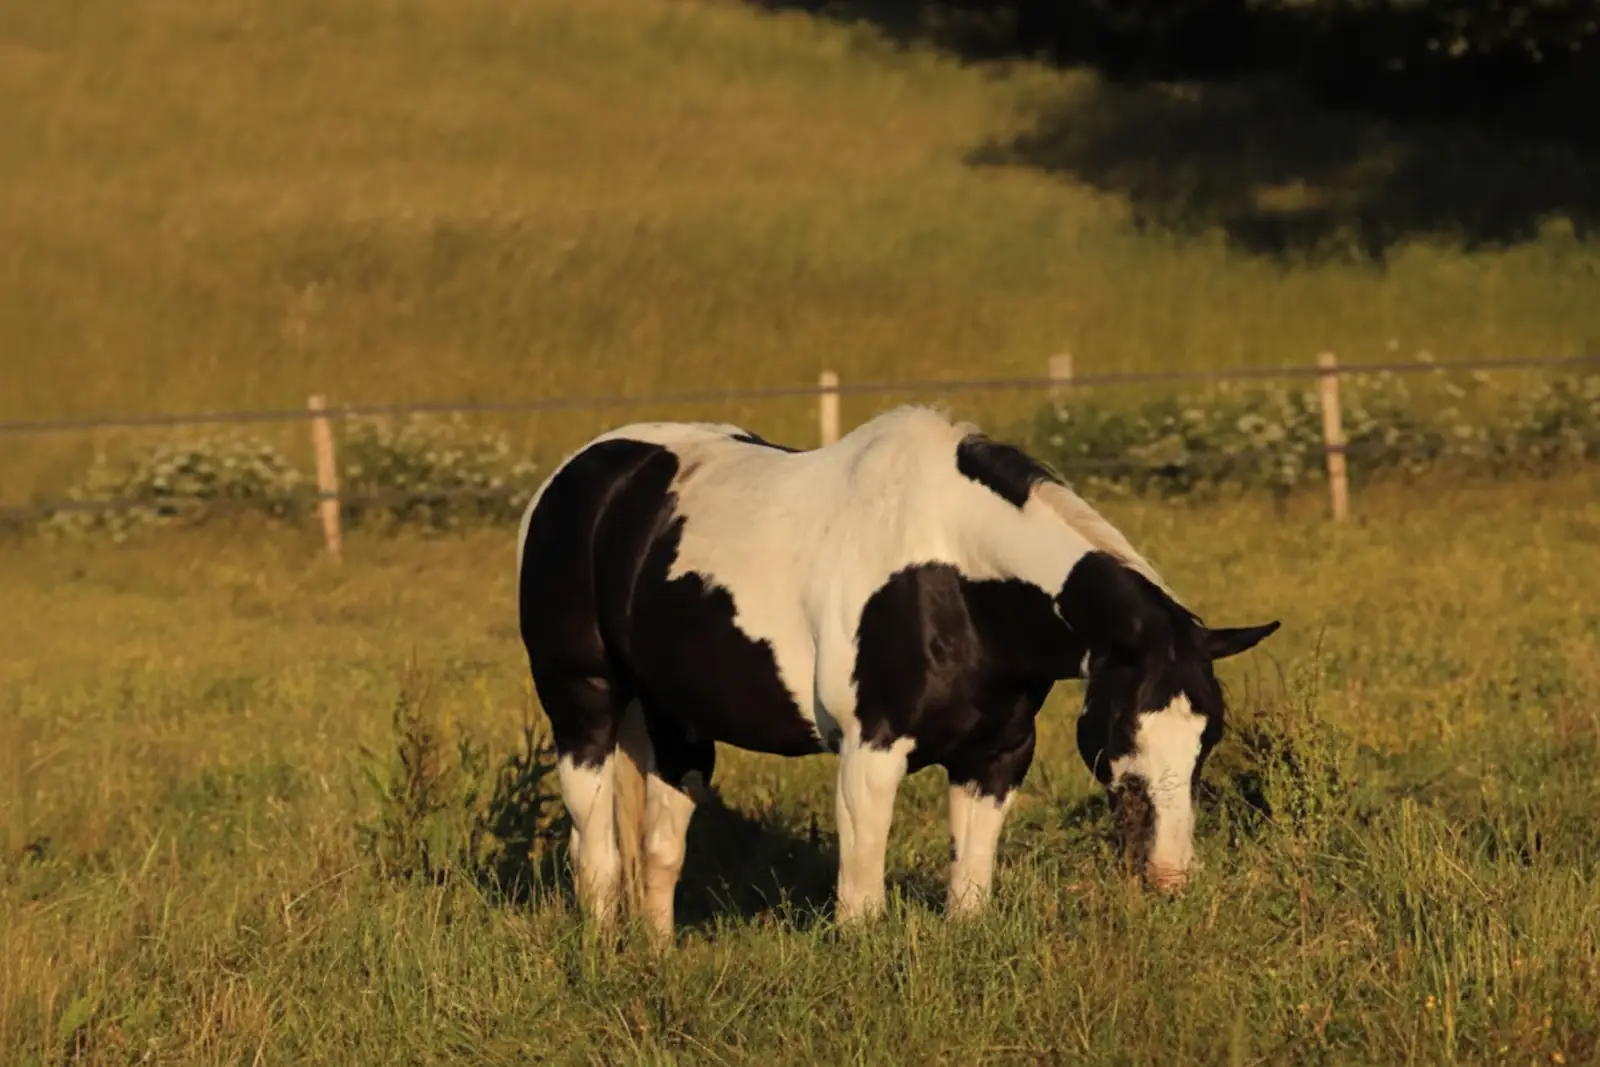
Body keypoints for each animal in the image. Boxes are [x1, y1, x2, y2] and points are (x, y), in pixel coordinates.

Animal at [515, 405, 1279, 943]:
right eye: (1122, 726)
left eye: (1208, 737)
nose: (1169, 874)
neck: (955, 577)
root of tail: (577, 477)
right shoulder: (871, 752)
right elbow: (860, 901)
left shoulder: (995, 757)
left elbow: (968, 892)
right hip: (581, 701)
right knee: (595, 850)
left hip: (676, 721)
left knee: (659, 847)